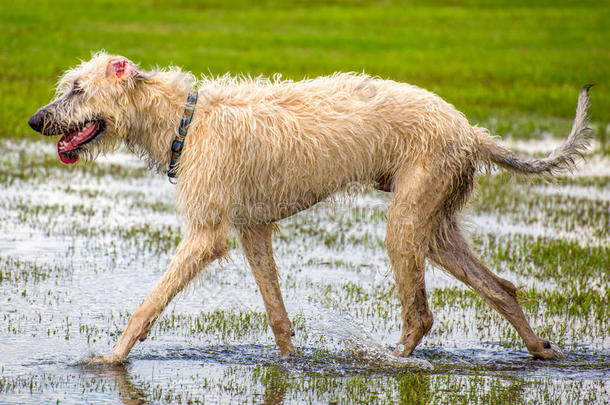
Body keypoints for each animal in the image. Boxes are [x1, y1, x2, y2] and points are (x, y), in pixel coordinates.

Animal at [28, 51, 588, 362]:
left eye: (77, 88)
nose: (35, 120)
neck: (185, 119)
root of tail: (470, 131)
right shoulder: (253, 228)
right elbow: (276, 311)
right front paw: (290, 358)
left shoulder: (206, 234)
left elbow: (150, 302)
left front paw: (110, 358)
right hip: (437, 221)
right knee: (501, 287)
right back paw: (540, 348)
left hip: (408, 217)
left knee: (421, 315)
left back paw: (393, 359)